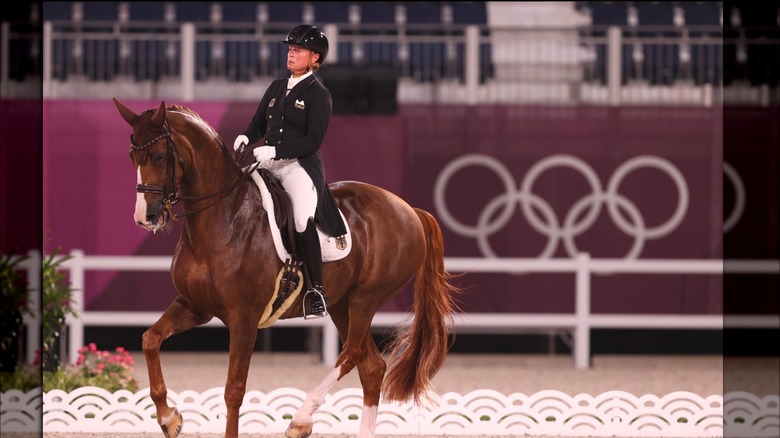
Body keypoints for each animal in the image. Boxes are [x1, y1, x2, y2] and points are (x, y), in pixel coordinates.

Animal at [112, 99, 460, 438]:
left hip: (366, 298)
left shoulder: (244, 319)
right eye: (132, 156)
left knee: (351, 353)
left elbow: (234, 389)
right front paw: (169, 418)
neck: (224, 216)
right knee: (371, 366)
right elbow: (150, 339)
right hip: (341, 304)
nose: (145, 217)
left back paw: (301, 420)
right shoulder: (195, 306)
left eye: (159, 156)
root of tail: (408, 209)